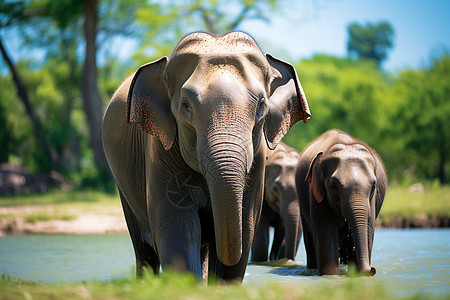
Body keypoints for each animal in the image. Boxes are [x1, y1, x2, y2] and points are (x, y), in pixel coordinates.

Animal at [102, 31, 310, 282]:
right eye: (185, 106)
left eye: (261, 105)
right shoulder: (160, 150)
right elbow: (179, 233)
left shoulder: (258, 160)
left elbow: (245, 227)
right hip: (124, 187)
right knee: (145, 249)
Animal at [296, 130, 386, 276]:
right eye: (333, 185)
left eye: (374, 185)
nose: (372, 269)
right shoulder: (316, 195)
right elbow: (327, 240)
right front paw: (331, 276)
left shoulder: (371, 201)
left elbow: (366, 233)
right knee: (310, 243)